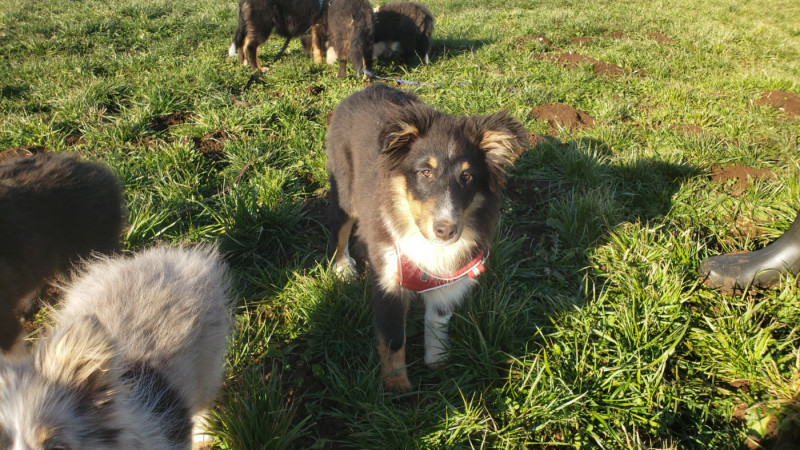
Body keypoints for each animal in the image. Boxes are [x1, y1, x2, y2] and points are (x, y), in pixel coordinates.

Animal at [326, 84, 529, 391]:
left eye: (467, 177)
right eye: (426, 172)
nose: (446, 230)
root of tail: (368, 87)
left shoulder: (451, 275)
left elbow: (438, 319)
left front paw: (439, 361)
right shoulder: (389, 278)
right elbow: (394, 337)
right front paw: (397, 386)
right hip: (344, 188)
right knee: (341, 229)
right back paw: (342, 267)